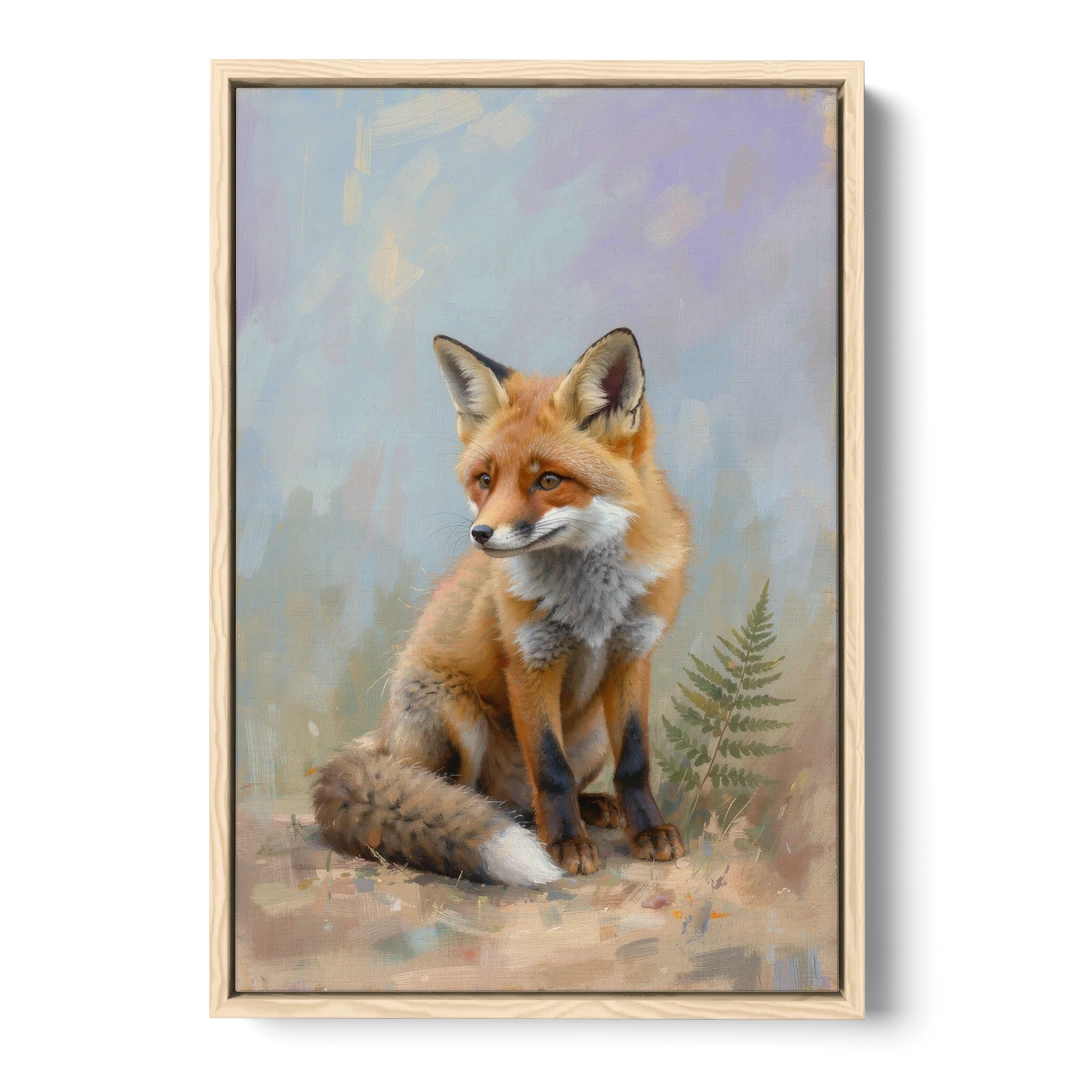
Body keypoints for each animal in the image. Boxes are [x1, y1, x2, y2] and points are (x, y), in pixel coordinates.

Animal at [312, 327, 692, 887]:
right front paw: (566, 843)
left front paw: (646, 831)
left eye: (549, 480)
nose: (481, 534)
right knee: (458, 792)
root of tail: (379, 739)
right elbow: (551, 770)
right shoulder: (530, 663)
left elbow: (635, 761)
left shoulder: (632, 655)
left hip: (592, 736)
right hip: (455, 713)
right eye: (485, 480)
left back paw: (588, 807)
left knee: (531, 796)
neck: (592, 606)